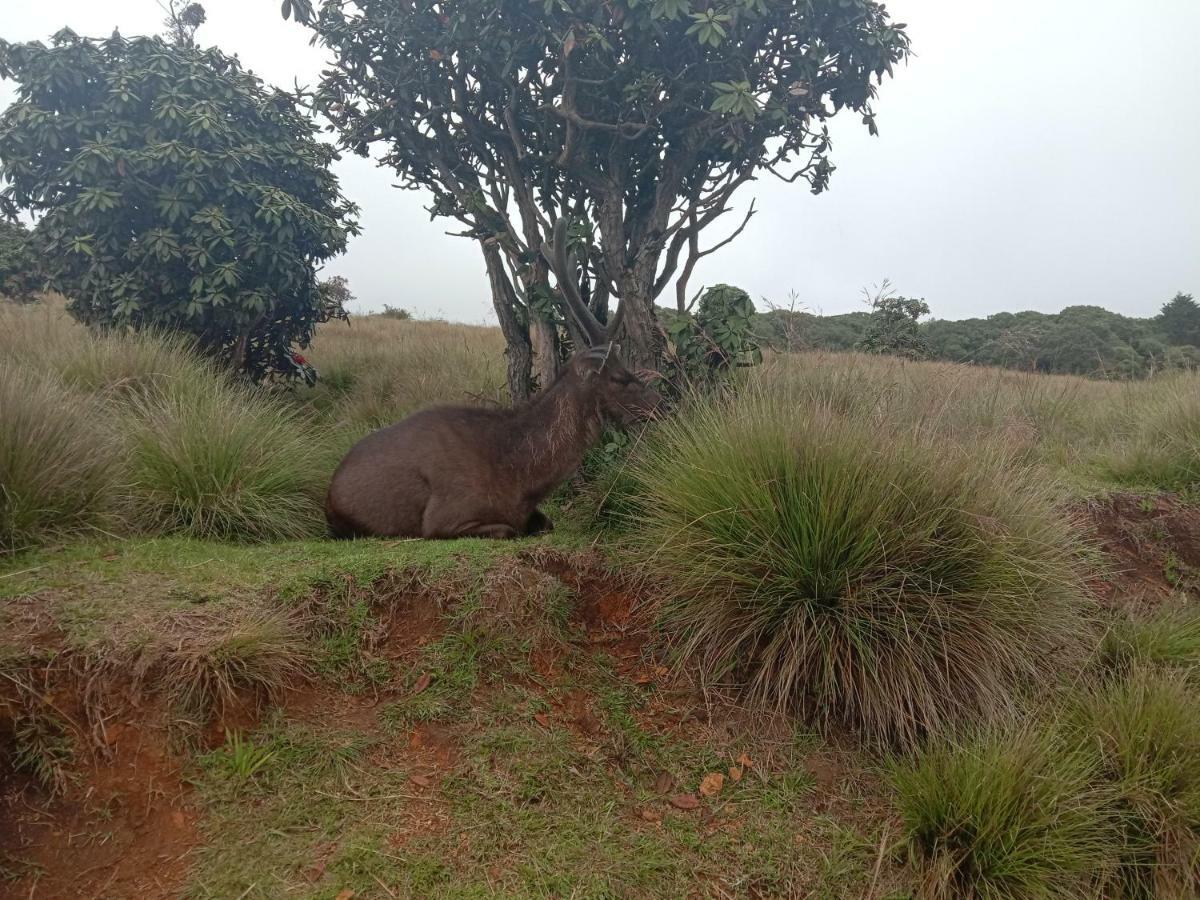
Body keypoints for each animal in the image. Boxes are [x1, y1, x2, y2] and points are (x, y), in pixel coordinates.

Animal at [326, 220, 667, 540]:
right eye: (619, 377)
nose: (662, 405)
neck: (519, 481)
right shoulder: (443, 518)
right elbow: (508, 529)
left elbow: (546, 522)